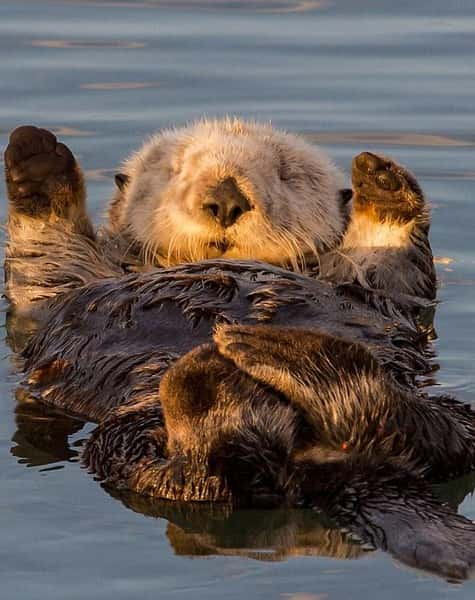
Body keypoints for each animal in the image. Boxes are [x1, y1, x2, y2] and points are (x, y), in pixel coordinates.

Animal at [1, 119, 474, 580]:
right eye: (175, 169)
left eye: (287, 173)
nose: (225, 198)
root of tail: (345, 469)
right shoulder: (56, 294)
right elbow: (49, 261)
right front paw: (37, 161)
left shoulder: (384, 287)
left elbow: (391, 263)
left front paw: (383, 187)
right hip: (127, 441)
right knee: (203, 478)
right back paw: (216, 375)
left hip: (451, 413)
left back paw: (260, 357)